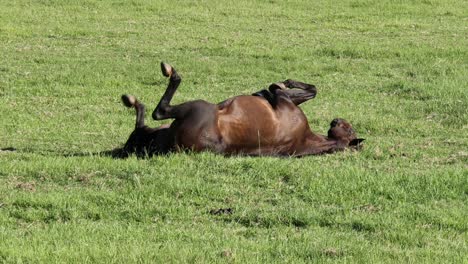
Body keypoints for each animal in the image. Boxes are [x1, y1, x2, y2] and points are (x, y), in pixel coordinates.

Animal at [118, 61, 366, 157]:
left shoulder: (283, 101)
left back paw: (167, 75)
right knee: (141, 127)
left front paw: (279, 84)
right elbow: (311, 89)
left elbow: (304, 90)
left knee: (159, 111)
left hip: (198, 107)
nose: (337, 120)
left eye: (348, 128)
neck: (306, 139)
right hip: (152, 134)